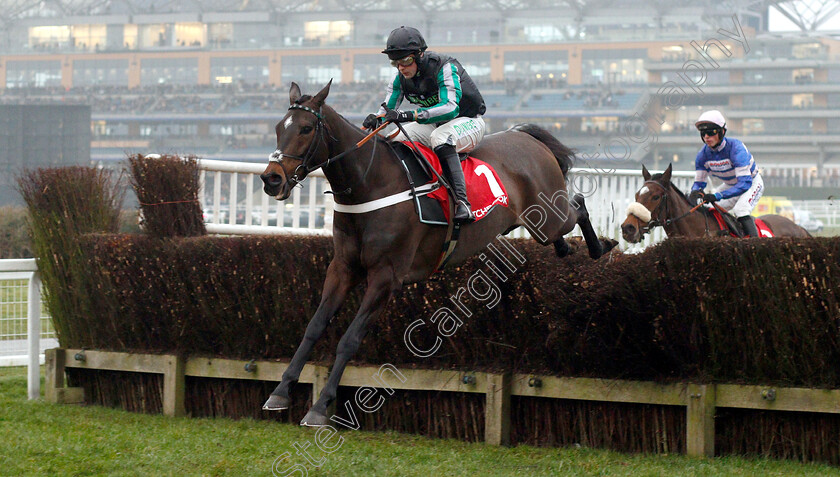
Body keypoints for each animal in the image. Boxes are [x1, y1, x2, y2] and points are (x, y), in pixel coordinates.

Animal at [260, 81, 612, 424]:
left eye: (306, 128)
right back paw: (567, 247)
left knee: (578, 205)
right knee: (563, 226)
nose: (271, 178)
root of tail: (526, 135)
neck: (371, 183)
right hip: (539, 225)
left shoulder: (386, 277)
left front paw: (320, 406)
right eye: (278, 127)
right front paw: (280, 391)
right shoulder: (343, 267)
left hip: (549, 216)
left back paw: (602, 247)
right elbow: (314, 327)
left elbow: (349, 339)